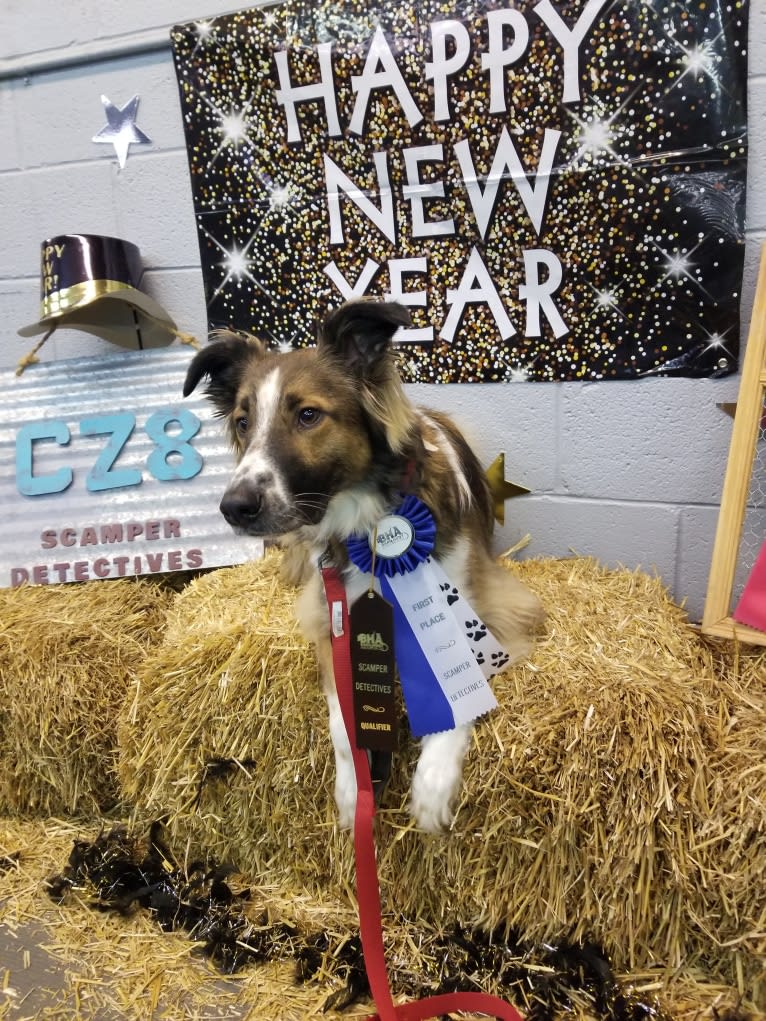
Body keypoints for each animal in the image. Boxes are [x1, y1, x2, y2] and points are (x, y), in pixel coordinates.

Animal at [184, 298, 547, 833]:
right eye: (244, 422)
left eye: (308, 415)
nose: (234, 507)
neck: (370, 522)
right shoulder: (328, 619)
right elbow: (340, 719)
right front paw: (356, 786)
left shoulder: (491, 614)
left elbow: (461, 689)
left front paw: (434, 779)